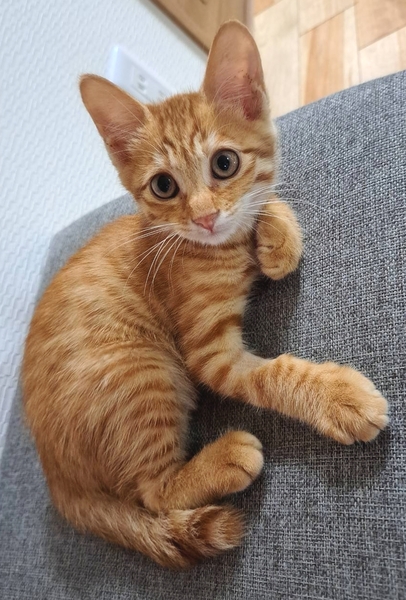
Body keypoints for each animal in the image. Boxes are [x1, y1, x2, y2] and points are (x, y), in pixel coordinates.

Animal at [22, 21, 388, 569]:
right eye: (163, 186)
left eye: (225, 163)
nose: (204, 217)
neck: (214, 249)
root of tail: (56, 480)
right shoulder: (208, 355)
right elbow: (271, 375)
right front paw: (338, 397)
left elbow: (264, 198)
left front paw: (277, 236)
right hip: (141, 370)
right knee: (153, 493)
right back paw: (224, 458)